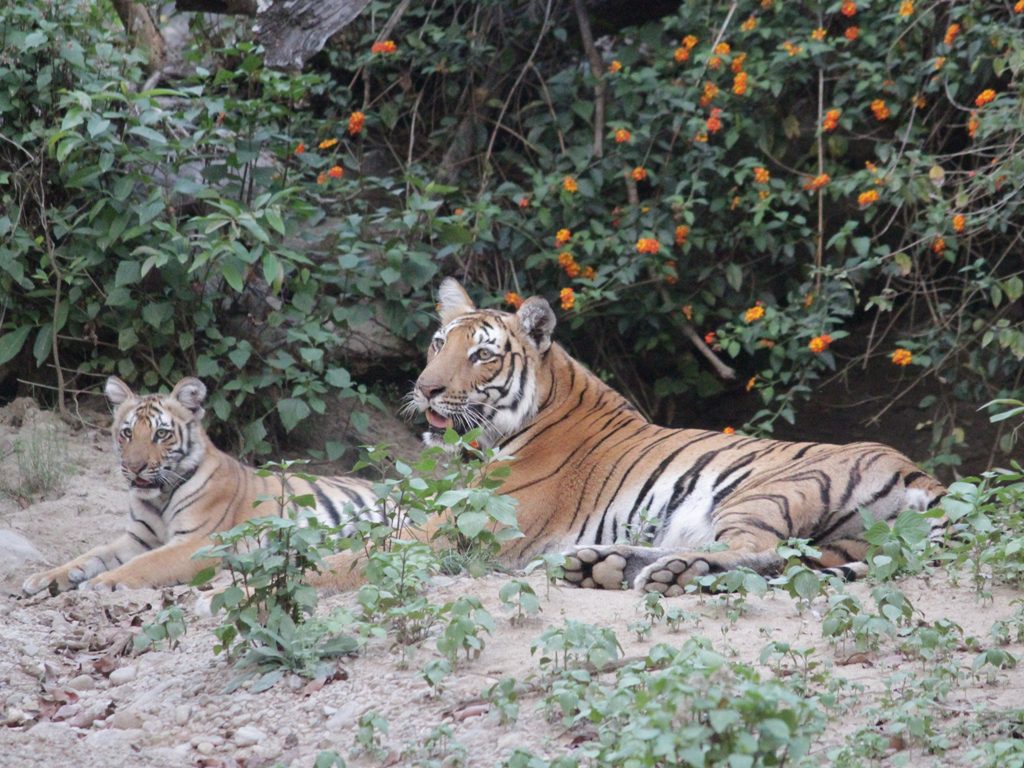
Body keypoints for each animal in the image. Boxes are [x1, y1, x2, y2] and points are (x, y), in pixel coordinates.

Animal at [22, 376, 378, 595]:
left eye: (161, 434)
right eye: (127, 433)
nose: (134, 467)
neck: (158, 498)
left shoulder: (199, 542)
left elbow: (147, 563)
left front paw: (103, 582)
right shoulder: (137, 539)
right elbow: (89, 555)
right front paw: (43, 577)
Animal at [409, 277, 946, 596]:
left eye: (482, 356)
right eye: (438, 343)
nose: (424, 388)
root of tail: (920, 473)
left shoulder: (479, 521)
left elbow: (395, 539)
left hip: (769, 492)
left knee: (764, 553)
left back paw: (667, 574)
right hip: (843, 544)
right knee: (783, 559)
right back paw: (601, 565)